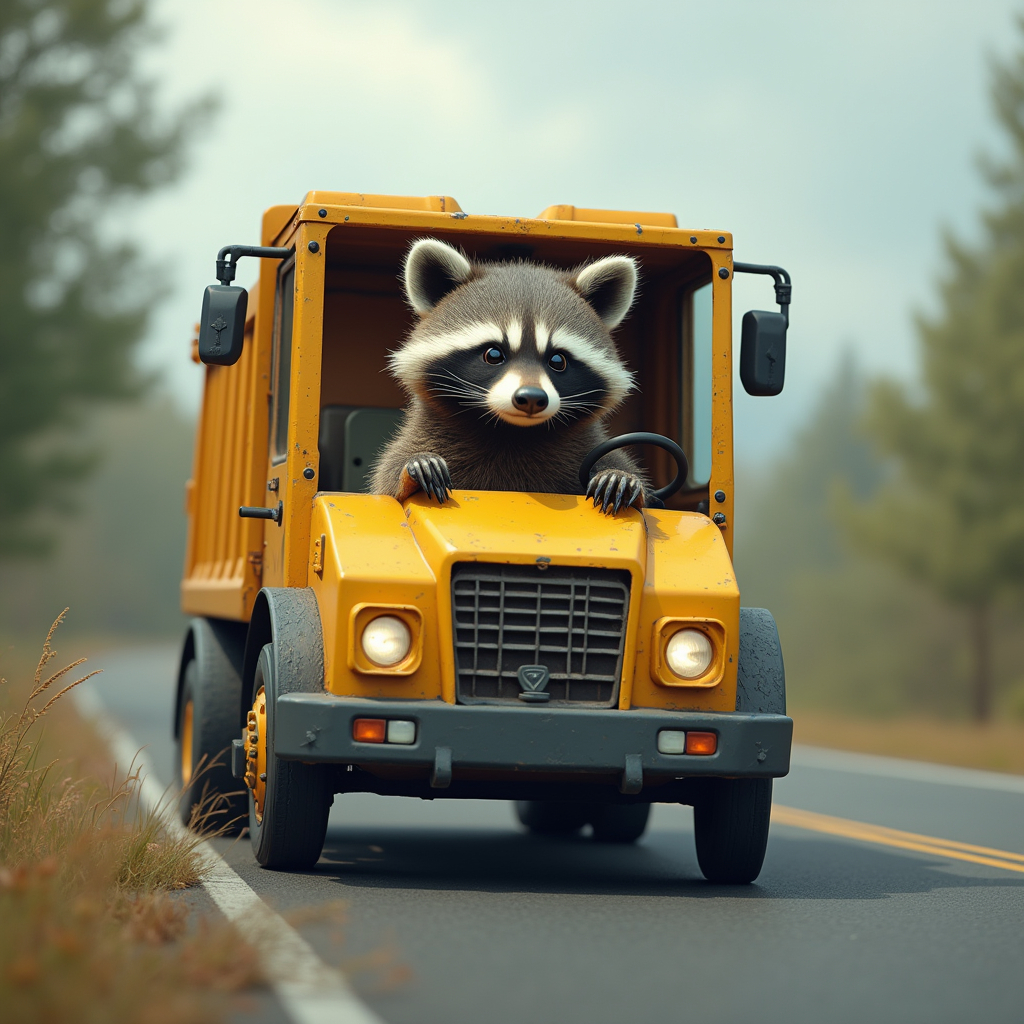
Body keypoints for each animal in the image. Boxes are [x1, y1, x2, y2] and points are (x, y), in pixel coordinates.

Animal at [370, 238, 648, 514]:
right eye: (493, 354)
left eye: (557, 360)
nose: (532, 398)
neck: (511, 432)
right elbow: (389, 483)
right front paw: (414, 467)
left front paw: (618, 476)